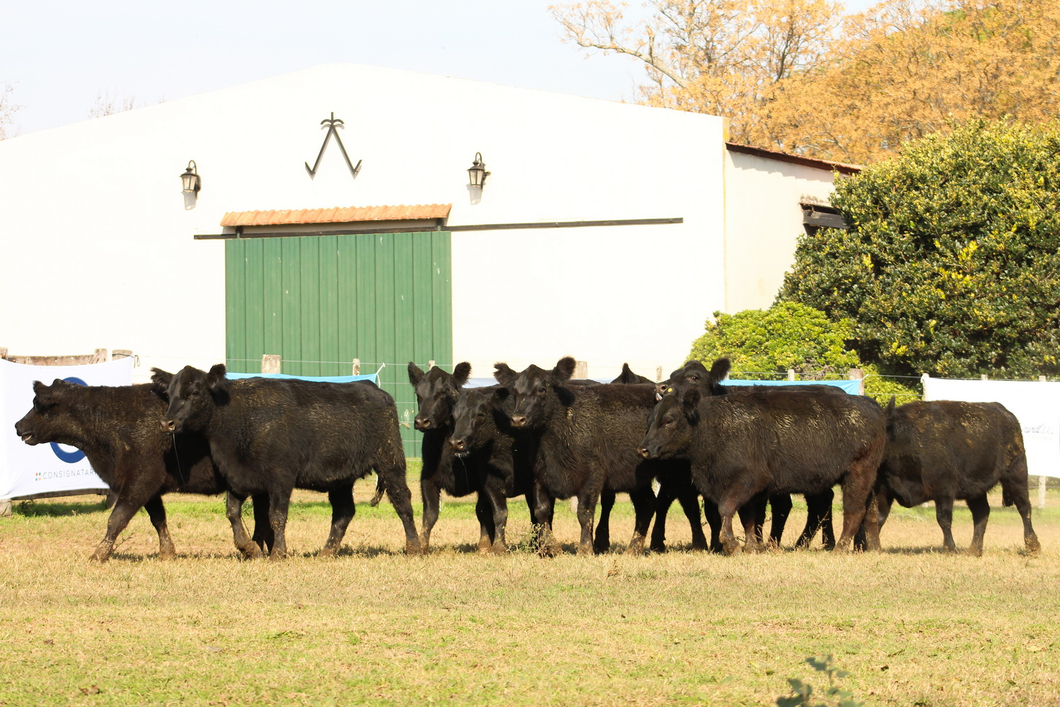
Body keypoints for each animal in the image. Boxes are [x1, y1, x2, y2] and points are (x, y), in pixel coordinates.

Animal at [13, 381, 269, 563]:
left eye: (39, 404)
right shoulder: (150, 488)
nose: (18, 425)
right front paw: (167, 553)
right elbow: (158, 519)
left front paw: (99, 554)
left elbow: (116, 519)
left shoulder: (139, 481)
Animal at [154, 364, 419, 559]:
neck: (240, 417)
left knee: (402, 500)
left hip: (390, 460)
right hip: (341, 478)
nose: (167, 423)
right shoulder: (237, 476)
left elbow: (276, 515)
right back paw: (327, 551)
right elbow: (233, 514)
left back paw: (415, 547)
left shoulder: (281, 476)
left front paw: (278, 553)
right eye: (169, 394)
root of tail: (375, 389)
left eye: (194, 393)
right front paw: (249, 548)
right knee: (344, 512)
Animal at [491, 362, 657, 555]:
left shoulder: (593, 475)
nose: (518, 419)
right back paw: (633, 549)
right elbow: (541, 511)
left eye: (542, 389)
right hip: (637, 477)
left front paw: (585, 548)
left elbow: (584, 513)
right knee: (647, 504)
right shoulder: (539, 474)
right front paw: (553, 547)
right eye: (515, 392)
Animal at [635, 390, 886, 555]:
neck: (714, 426)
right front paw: (752, 546)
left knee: (853, 511)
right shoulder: (749, 492)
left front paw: (731, 544)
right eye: (649, 420)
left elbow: (726, 508)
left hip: (857, 476)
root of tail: (870, 405)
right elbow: (748, 518)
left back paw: (840, 548)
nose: (643, 449)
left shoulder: (747, 480)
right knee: (863, 511)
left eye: (669, 420)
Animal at [873, 400, 1038, 555]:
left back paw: (1033, 546)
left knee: (1024, 507)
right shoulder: (884, 491)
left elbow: (943, 519)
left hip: (1016, 474)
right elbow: (879, 517)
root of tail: (1006, 414)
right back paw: (974, 550)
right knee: (982, 512)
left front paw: (949, 548)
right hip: (976, 490)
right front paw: (874, 547)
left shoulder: (944, 490)